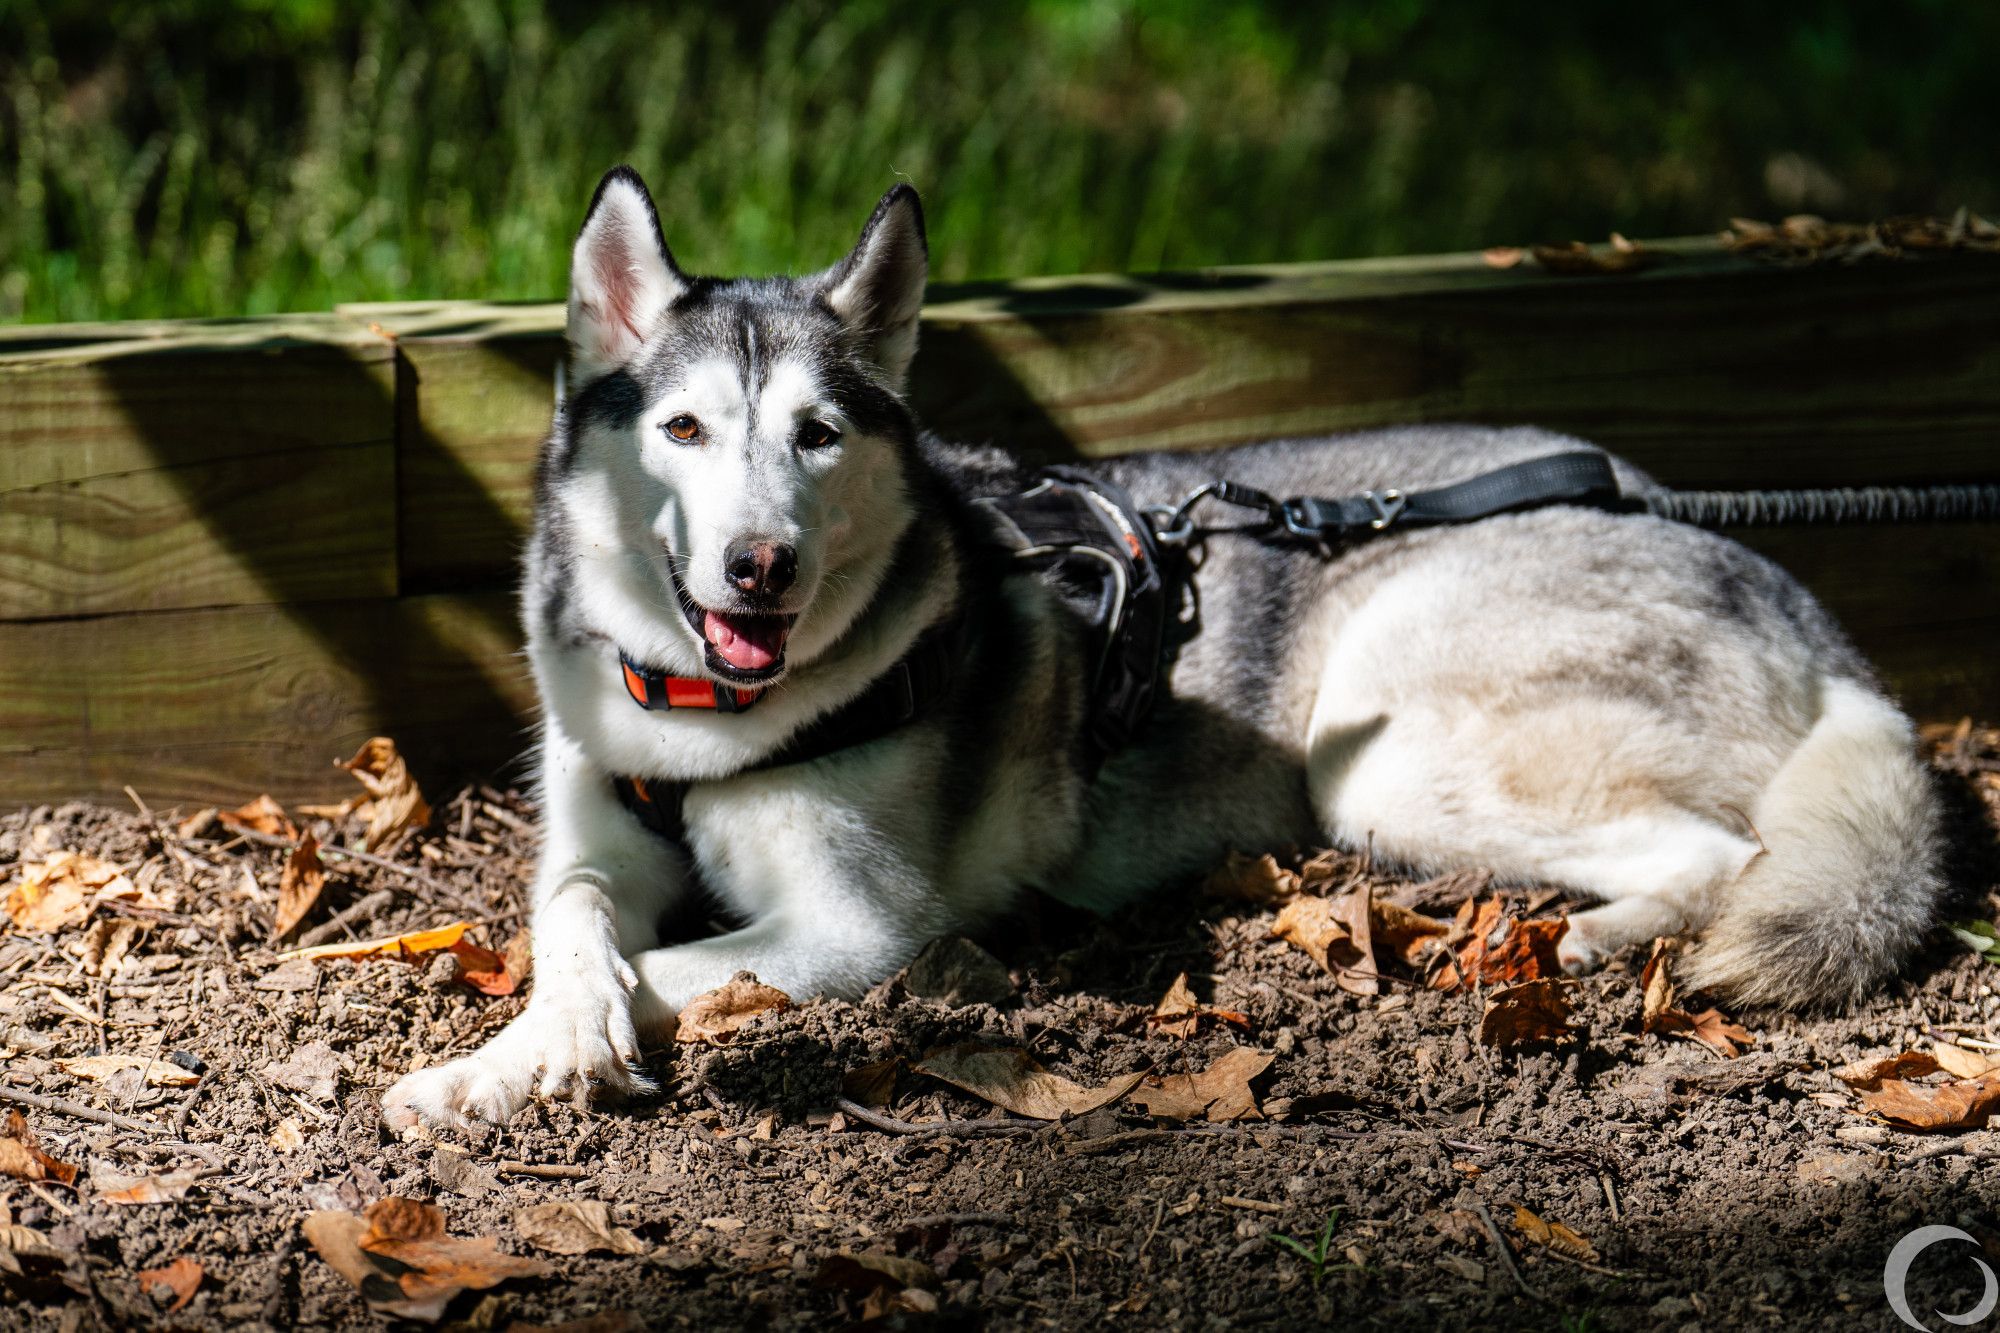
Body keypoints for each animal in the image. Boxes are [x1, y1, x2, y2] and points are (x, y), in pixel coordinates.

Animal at [378, 161, 1936, 1128]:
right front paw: (529, 1044)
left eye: (817, 436)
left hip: (1380, 755)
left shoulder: (855, 927)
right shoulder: (594, 832)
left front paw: (516, 1060)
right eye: (685, 428)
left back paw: (1601, 936)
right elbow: (575, 922)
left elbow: (672, 972)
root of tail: (1799, 605)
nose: (762, 565)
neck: (701, 721)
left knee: (1726, 854)